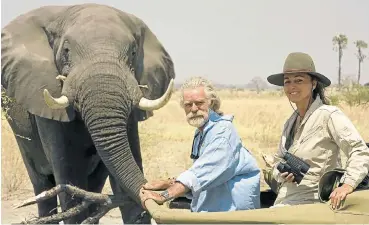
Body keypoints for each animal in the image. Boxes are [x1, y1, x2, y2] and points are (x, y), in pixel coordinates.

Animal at [0, 3, 175, 223]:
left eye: (134, 52)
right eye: (66, 51)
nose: (160, 189)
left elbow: (126, 169)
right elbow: (70, 176)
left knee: (94, 185)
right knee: (42, 184)